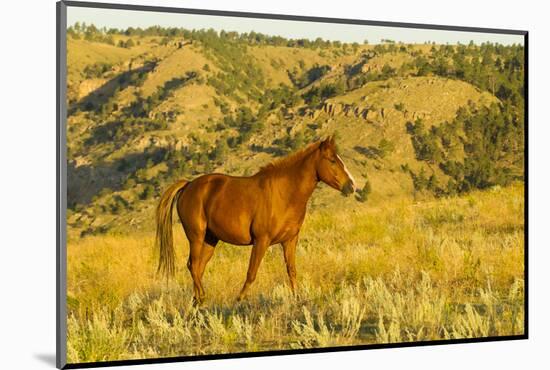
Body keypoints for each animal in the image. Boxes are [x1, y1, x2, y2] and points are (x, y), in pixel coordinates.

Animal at [155, 136, 358, 304]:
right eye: (332, 161)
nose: (351, 186)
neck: (284, 194)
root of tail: (188, 185)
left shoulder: (289, 241)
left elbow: (291, 271)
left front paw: (297, 298)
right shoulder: (262, 241)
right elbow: (251, 273)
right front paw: (239, 299)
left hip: (210, 240)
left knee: (199, 267)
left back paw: (197, 301)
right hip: (196, 237)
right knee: (193, 266)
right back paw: (202, 298)